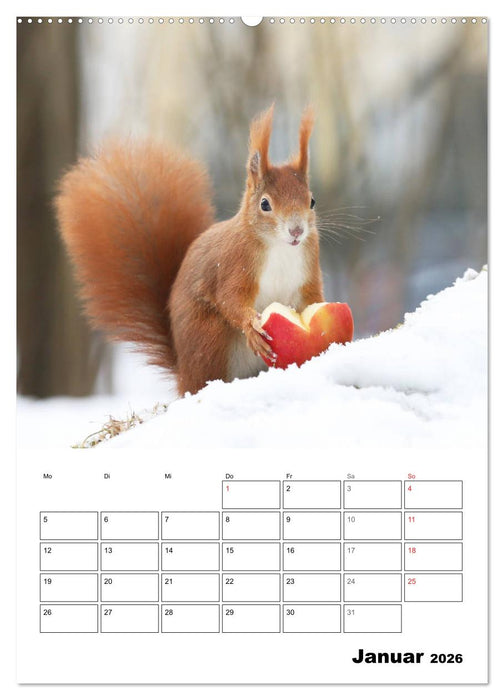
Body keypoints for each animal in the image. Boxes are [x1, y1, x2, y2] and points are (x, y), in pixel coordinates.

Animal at [55, 104, 324, 396]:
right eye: (265, 204)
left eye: (311, 201)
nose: (296, 231)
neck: (280, 247)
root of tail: (183, 375)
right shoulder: (234, 263)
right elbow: (230, 297)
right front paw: (251, 326)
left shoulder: (309, 269)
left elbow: (313, 298)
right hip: (209, 338)